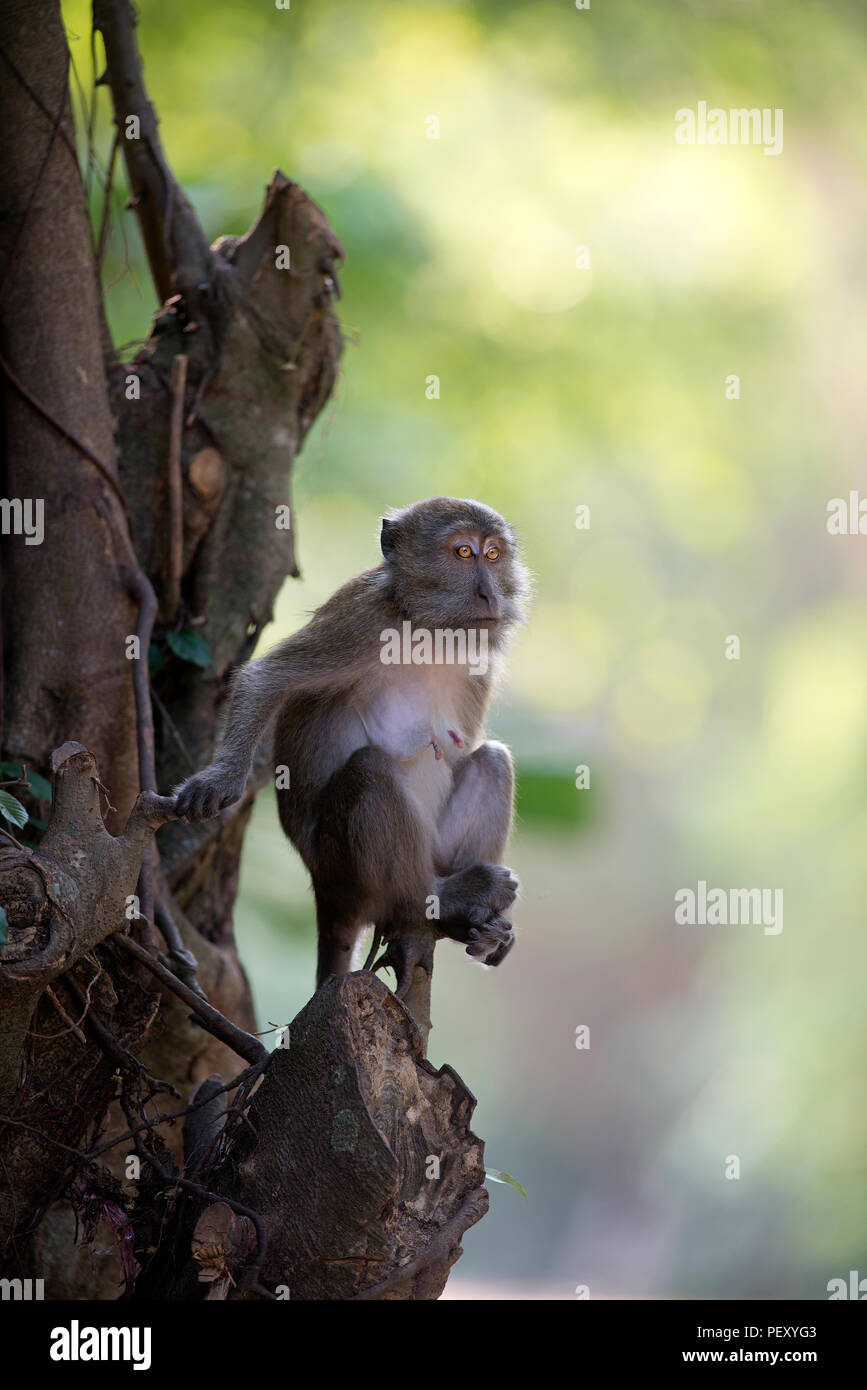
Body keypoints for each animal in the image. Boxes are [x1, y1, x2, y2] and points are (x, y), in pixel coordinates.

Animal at [174, 496, 530, 995]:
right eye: (463, 552)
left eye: (494, 555)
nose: (490, 596)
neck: (428, 628)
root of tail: (324, 890)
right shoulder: (359, 621)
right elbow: (265, 679)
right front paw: (220, 779)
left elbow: (466, 753)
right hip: (344, 870)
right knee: (370, 770)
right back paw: (436, 899)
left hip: (433, 851)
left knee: (491, 760)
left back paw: (471, 921)